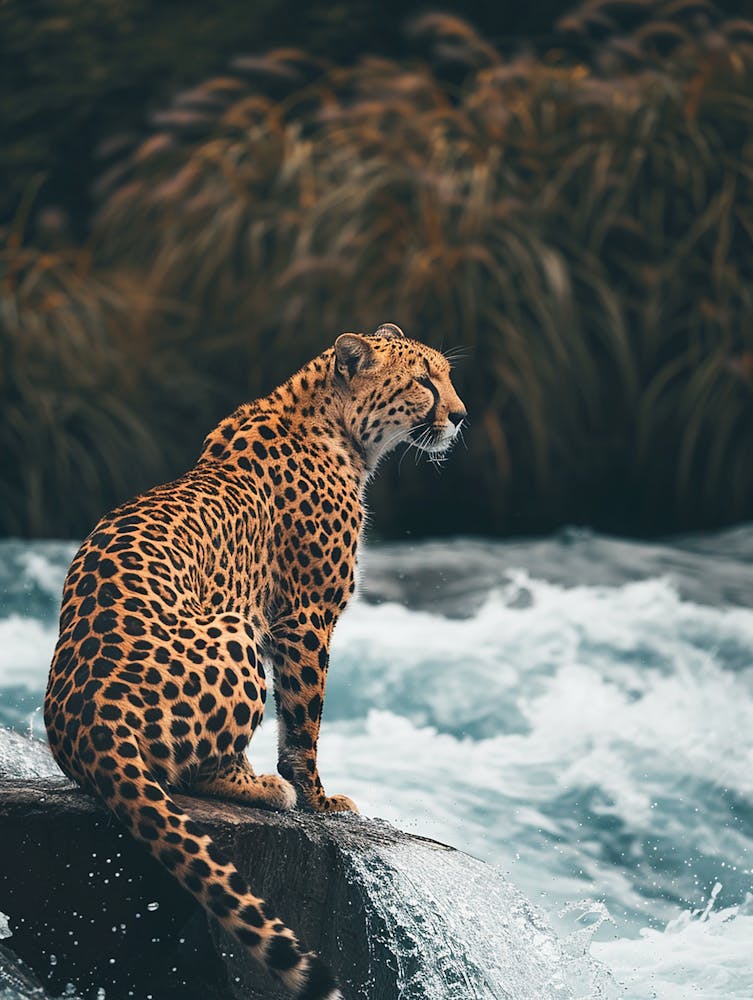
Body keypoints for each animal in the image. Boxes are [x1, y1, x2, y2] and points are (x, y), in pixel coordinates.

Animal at [44, 323, 466, 999]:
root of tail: (84, 719)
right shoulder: (305, 618)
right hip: (235, 629)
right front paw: (319, 799)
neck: (331, 422)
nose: (459, 415)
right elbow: (305, 722)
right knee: (189, 772)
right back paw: (265, 787)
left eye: (446, 377)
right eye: (425, 382)